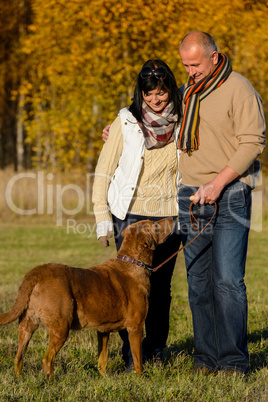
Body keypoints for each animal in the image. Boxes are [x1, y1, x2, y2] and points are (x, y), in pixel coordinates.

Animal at [0, 217, 174, 376]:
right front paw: (140, 378)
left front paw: (104, 379)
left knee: (19, 356)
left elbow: (102, 359)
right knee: (47, 359)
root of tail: (38, 271)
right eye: (155, 224)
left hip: (27, 324)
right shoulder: (135, 326)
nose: (173, 217)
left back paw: (19, 378)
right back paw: (51, 383)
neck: (133, 262)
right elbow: (138, 360)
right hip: (61, 326)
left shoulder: (103, 330)